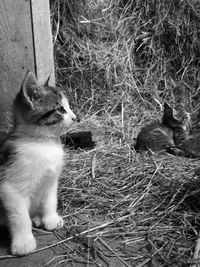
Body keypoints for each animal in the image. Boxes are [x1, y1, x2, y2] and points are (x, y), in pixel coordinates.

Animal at [0, 72, 76, 256]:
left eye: (68, 107)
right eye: (61, 109)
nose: (75, 118)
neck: (43, 143)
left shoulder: (51, 180)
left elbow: (50, 200)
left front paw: (51, 219)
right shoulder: (10, 188)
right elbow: (20, 217)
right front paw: (23, 242)